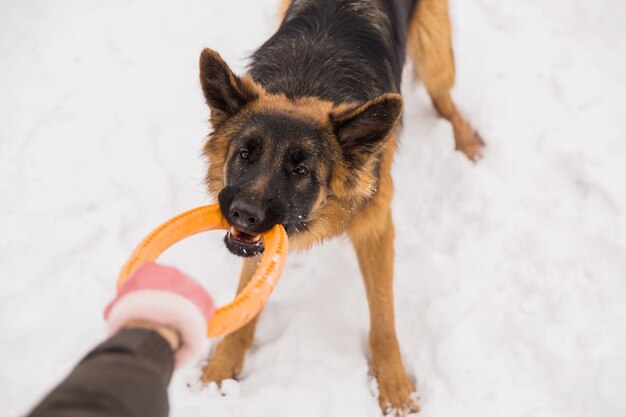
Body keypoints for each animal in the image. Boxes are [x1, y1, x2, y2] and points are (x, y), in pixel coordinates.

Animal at [197, 0, 480, 412]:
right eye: (245, 155)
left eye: (300, 170)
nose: (244, 214)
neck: (306, 81)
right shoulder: (258, 241)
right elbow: (246, 300)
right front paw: (222, 366)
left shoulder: (377, 228)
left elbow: (383, 318)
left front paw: (394, 386)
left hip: (434, 53)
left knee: (444, 96)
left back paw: (465, 140)